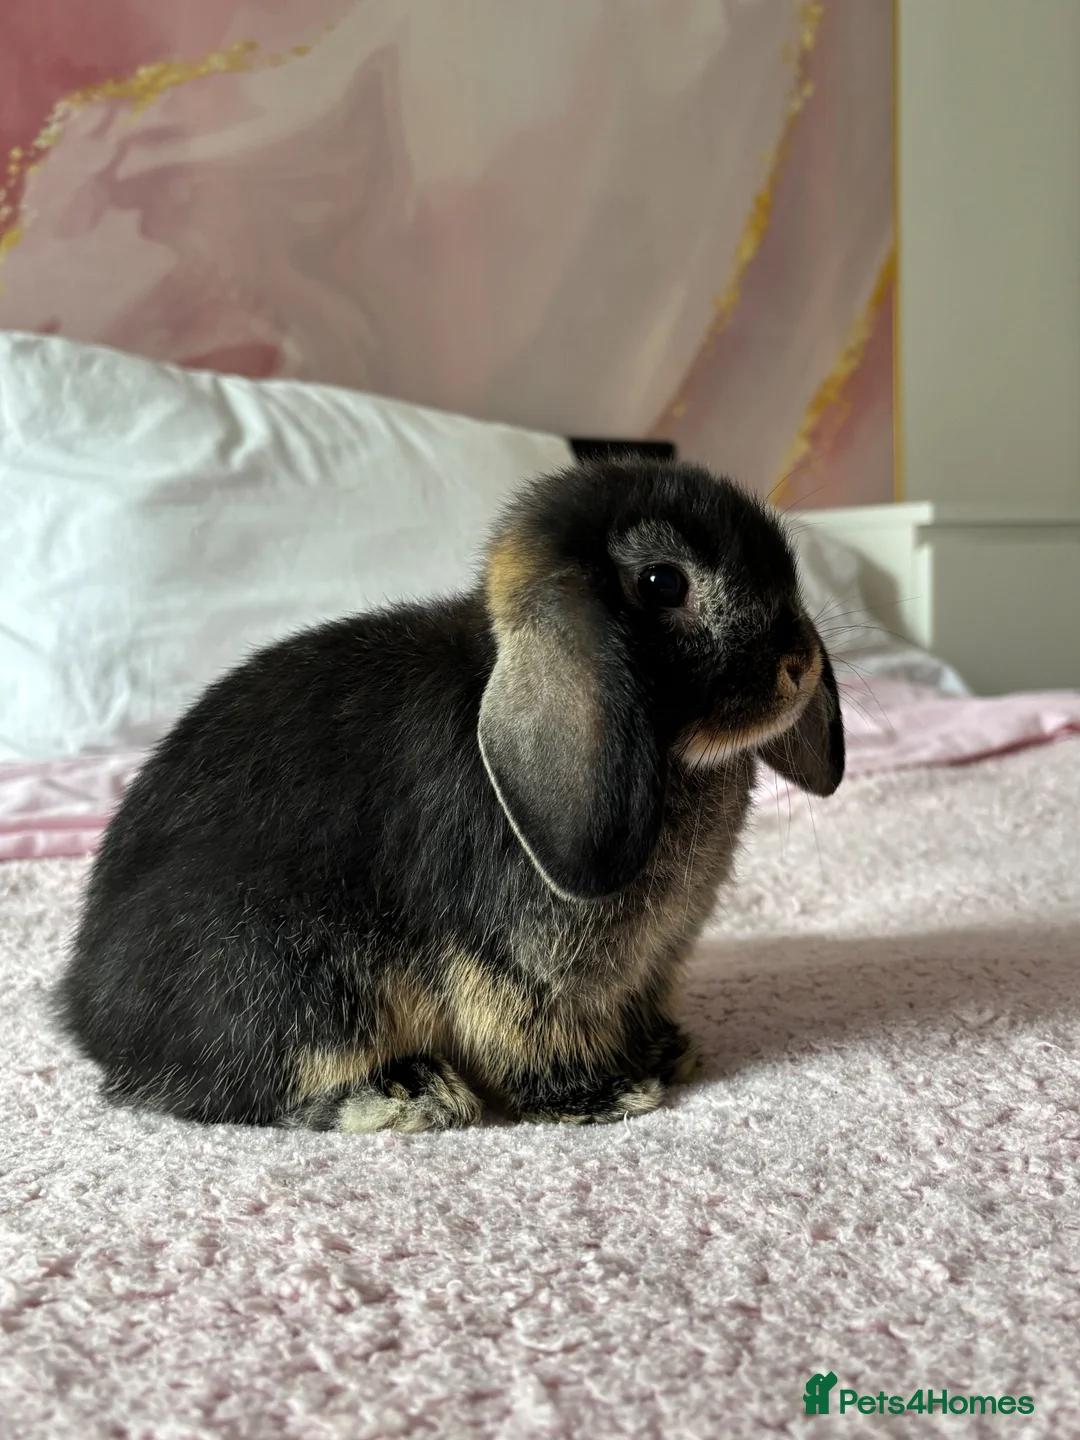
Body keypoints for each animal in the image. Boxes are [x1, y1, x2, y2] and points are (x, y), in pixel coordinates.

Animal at [58, 460, 844, 1132]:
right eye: (661, 582)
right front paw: (609, 1095)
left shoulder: (652, 963)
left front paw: (666, 1051)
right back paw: (408, 1093)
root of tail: (89, 1016)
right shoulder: (518, 973)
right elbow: (529, 1039)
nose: (799, 662)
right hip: (284, 969)